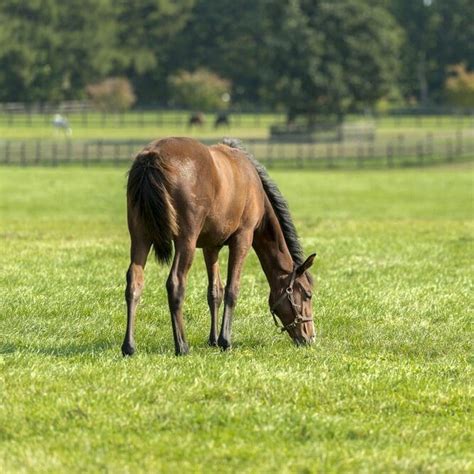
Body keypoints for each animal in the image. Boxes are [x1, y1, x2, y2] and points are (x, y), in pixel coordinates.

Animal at [123, 137, 314, 356]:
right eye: (307, 294)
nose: (310, 337)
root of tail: (152, 158)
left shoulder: (210, 247)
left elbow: (215, 292)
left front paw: (213, 340)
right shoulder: (243, 238)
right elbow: (232, 289)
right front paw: (225, 340)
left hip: (140, 238)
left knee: (134, 282)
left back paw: (129, 346)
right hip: (185, 241)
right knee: (176, 283)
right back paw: (182, 346)